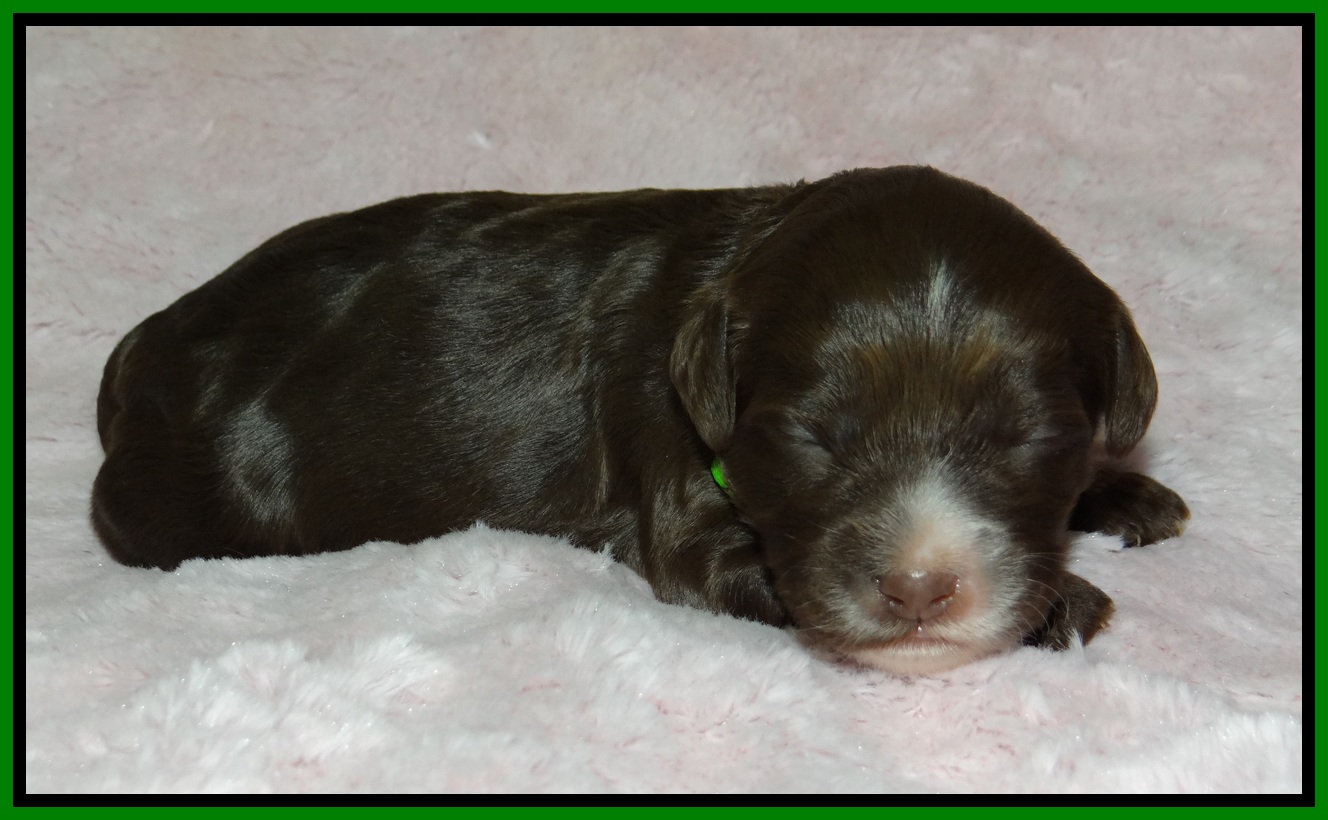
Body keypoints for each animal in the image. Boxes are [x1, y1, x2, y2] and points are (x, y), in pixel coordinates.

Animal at [92, 166, 1190, 675]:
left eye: (1026, 438)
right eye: (811, 438)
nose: (920, 589)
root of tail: (145, 341)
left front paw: (1123, 492)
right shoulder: (682, 502)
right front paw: (1064, 604)